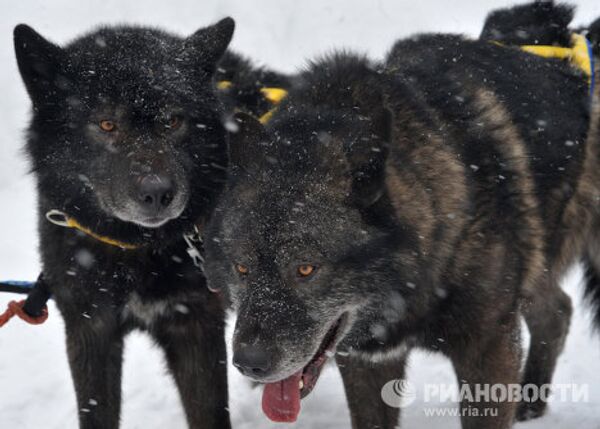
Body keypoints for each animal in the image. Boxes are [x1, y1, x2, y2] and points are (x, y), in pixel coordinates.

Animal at [13, 18, 237, 426]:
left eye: (172, 120)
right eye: (106, 124)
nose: (158, 193)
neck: (136, 250)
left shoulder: (197, 324)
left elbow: (211, 414)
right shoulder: (90, 327)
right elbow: (95, 411)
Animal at [205, 15, 600, 428]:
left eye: (306, 269)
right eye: (242, 268)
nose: (249, 363)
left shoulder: (489, 346)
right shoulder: (366, 360)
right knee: (558, 310)